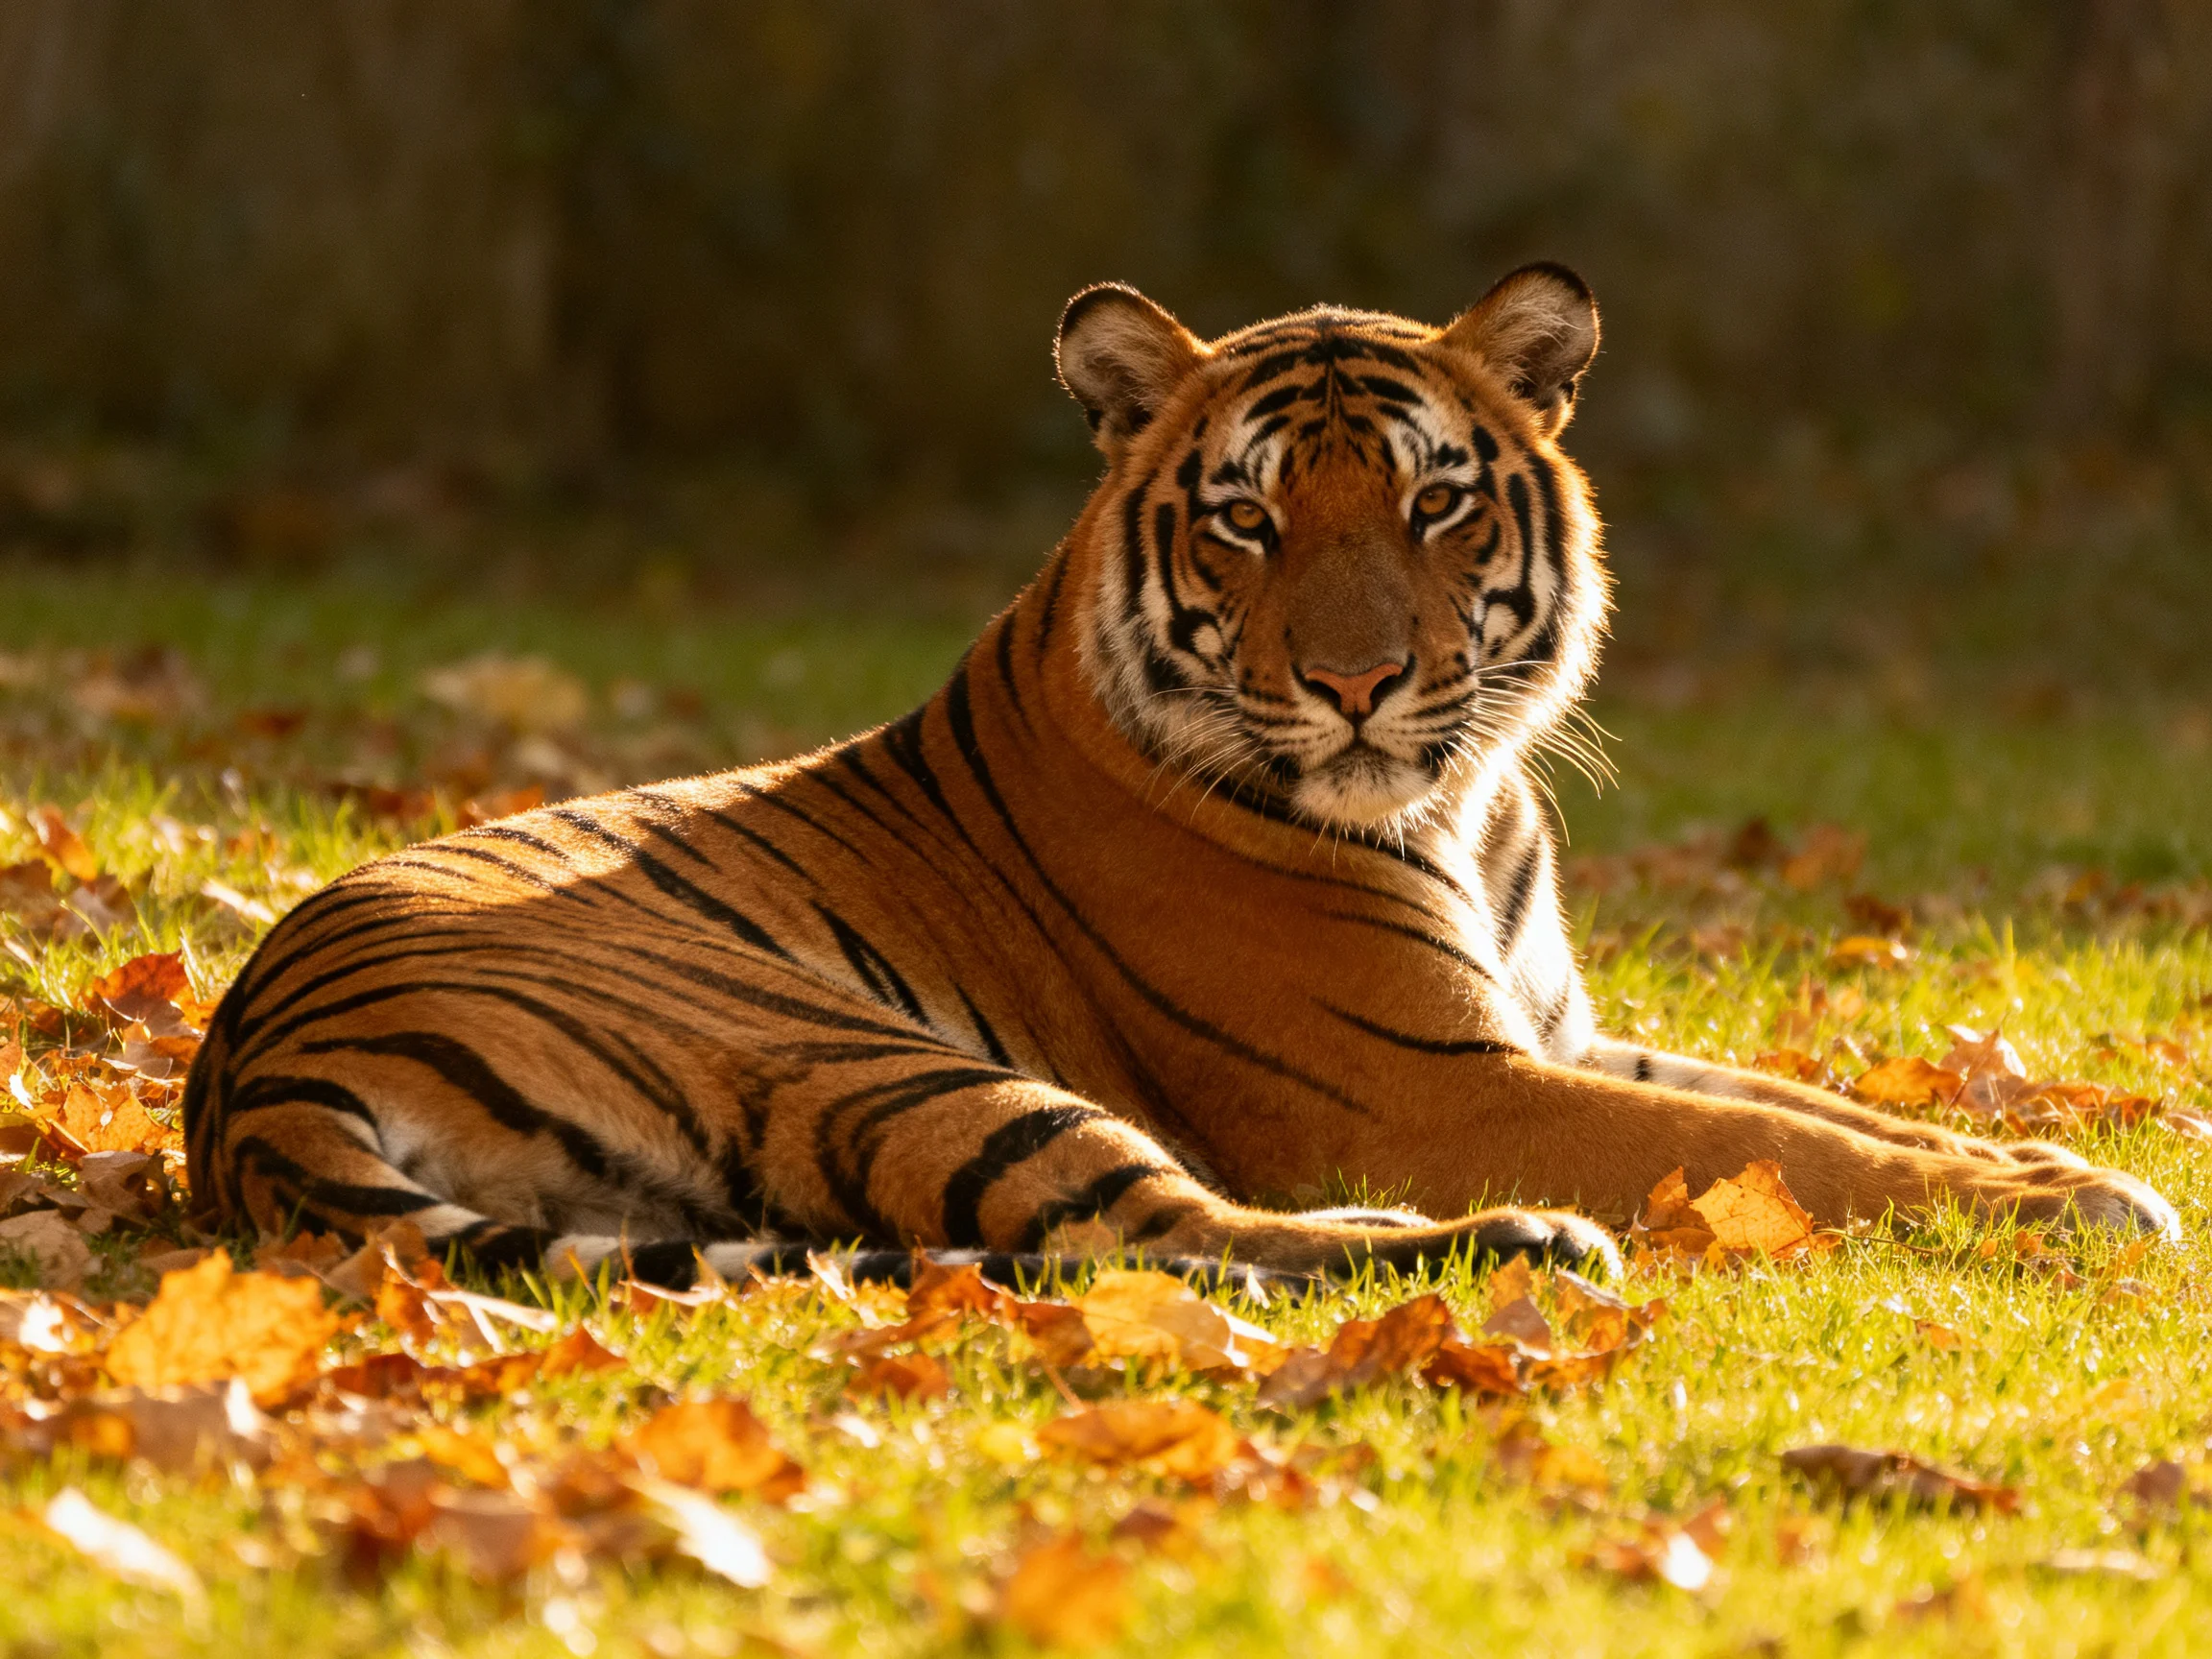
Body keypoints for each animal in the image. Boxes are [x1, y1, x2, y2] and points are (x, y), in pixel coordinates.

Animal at [183, 262, 2178, 1292]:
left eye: (1433, 502)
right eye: (1247, 517)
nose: (1358, 682)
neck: (1464, 801)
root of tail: (250, 1074)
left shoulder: (1550, 1029)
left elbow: (1810, 1107)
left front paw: (2049, 1153)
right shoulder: (1436, 1085)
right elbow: (1778, 1146)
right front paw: (2077, 1205)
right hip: (868, 1050)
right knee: (1143, 1237)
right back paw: (1511, 1242)